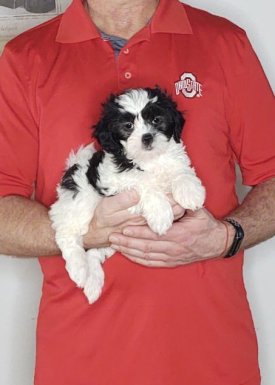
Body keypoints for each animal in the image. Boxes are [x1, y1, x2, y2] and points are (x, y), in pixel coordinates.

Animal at [49, 87, 206, 304]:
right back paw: (79, 269)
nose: (147, 137)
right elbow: (144, 183)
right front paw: (160, 214)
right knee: (67, 233)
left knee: (95, 253)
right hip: (80, 202)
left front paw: (191, 192)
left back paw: (93, 282)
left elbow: (181, 171)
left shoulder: (174, 161)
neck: (149, 160)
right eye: (128, 126)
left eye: (156, 119)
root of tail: (73, 167)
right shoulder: (114, 181)